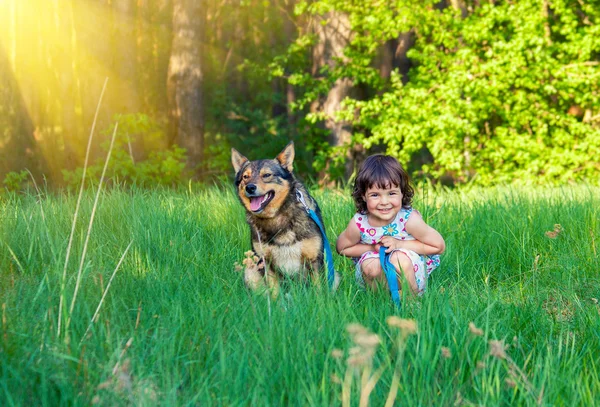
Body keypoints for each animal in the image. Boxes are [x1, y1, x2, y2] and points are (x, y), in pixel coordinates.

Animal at [232, 143, 340, 296]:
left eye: (266, 175)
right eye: (245, 177)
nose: (250, 187)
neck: (277, 217)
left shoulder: (314, 260)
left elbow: (318, 292)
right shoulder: (266, 262)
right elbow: (275, 294)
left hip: (335, 275)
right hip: (250, 270)